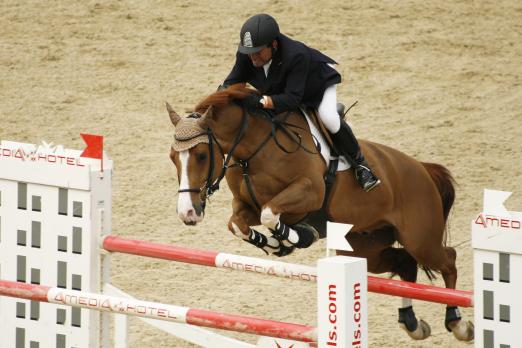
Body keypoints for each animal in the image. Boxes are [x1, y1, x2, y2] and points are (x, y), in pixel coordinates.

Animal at [166, 85, 472, 342]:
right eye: (172, 157)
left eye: (202, 155)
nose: (188, 213)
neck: (254, 149)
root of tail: (423, 169)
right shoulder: (246, 205)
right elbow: (239, 224)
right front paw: (275, 244)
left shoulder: (309, 192)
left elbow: (270, 214)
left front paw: (298, 236)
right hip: (365, 247)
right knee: (405, 263)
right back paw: (412, 324)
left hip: (420, 239)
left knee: (448, 260)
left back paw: (458, 324)